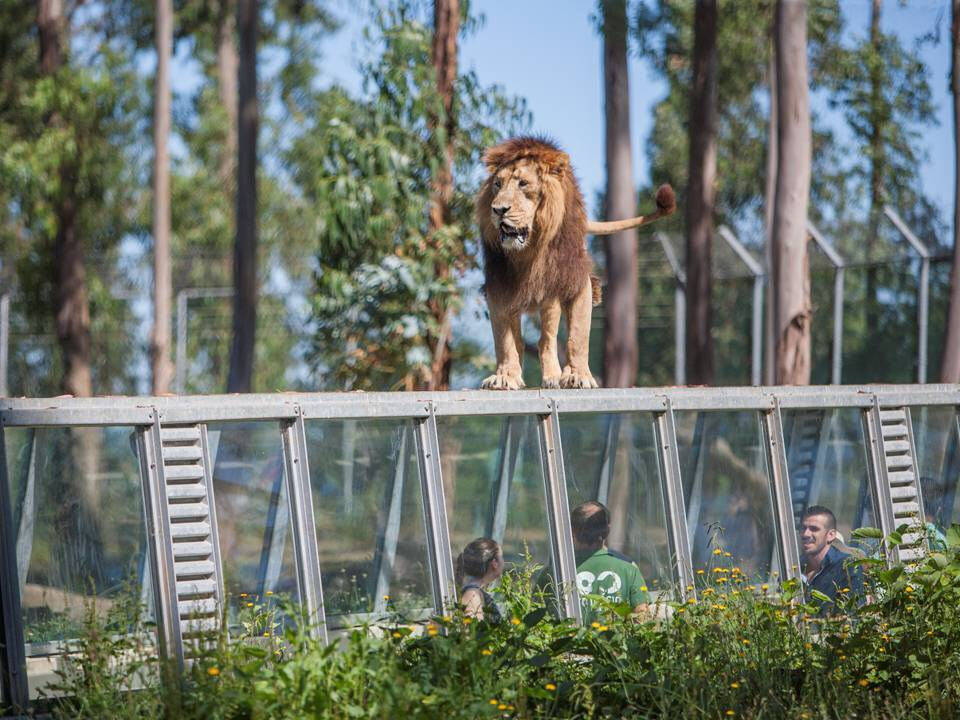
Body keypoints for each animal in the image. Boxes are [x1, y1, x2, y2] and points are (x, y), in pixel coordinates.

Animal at [474, 137, 676, 390]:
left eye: (523, 184)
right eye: (497, 184)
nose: (498, 210)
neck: (530, 250)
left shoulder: (575, 280)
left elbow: (578, 336)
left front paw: (578, 375)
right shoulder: (498, 286)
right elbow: (505, 340)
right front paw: (505, 376)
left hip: (550, 299)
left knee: (546, 340)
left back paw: (552, 377)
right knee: (523, 340)